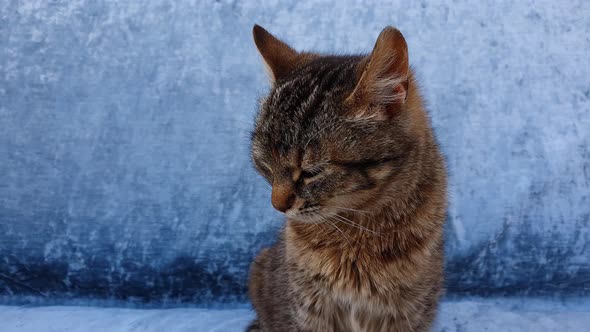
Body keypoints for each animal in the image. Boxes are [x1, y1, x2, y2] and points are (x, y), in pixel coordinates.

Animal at [247, 24, 446, 330]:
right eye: (265, 166)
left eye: (311, 172)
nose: (277, 206)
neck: (358, 228)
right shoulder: (309, 311)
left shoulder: (407, 313)